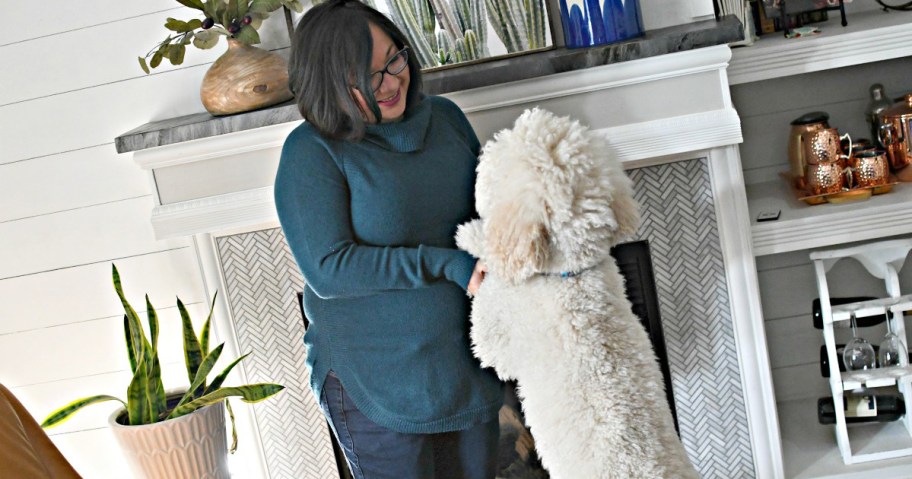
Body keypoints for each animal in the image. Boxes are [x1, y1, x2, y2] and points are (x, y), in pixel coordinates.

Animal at [456, 109, 700, 479]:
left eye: (494, 167)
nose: (482, 156)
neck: (569, 274)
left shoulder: (495, 333)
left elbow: (487, 317)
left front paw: (471, 236)